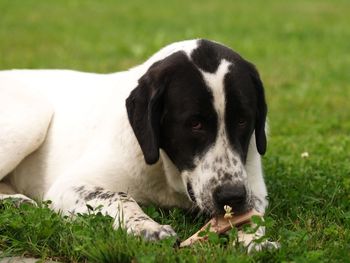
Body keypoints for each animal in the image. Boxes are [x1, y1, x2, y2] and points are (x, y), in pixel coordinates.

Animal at [0, 39, 278, 252]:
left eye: (242, 120)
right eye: (194, 123)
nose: (231, 196)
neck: (167, 174)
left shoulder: (253, 185)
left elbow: (253, 215)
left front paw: (254, 238)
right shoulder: (68, 186)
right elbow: (119, 196)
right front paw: (148, 227)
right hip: (32, 116)